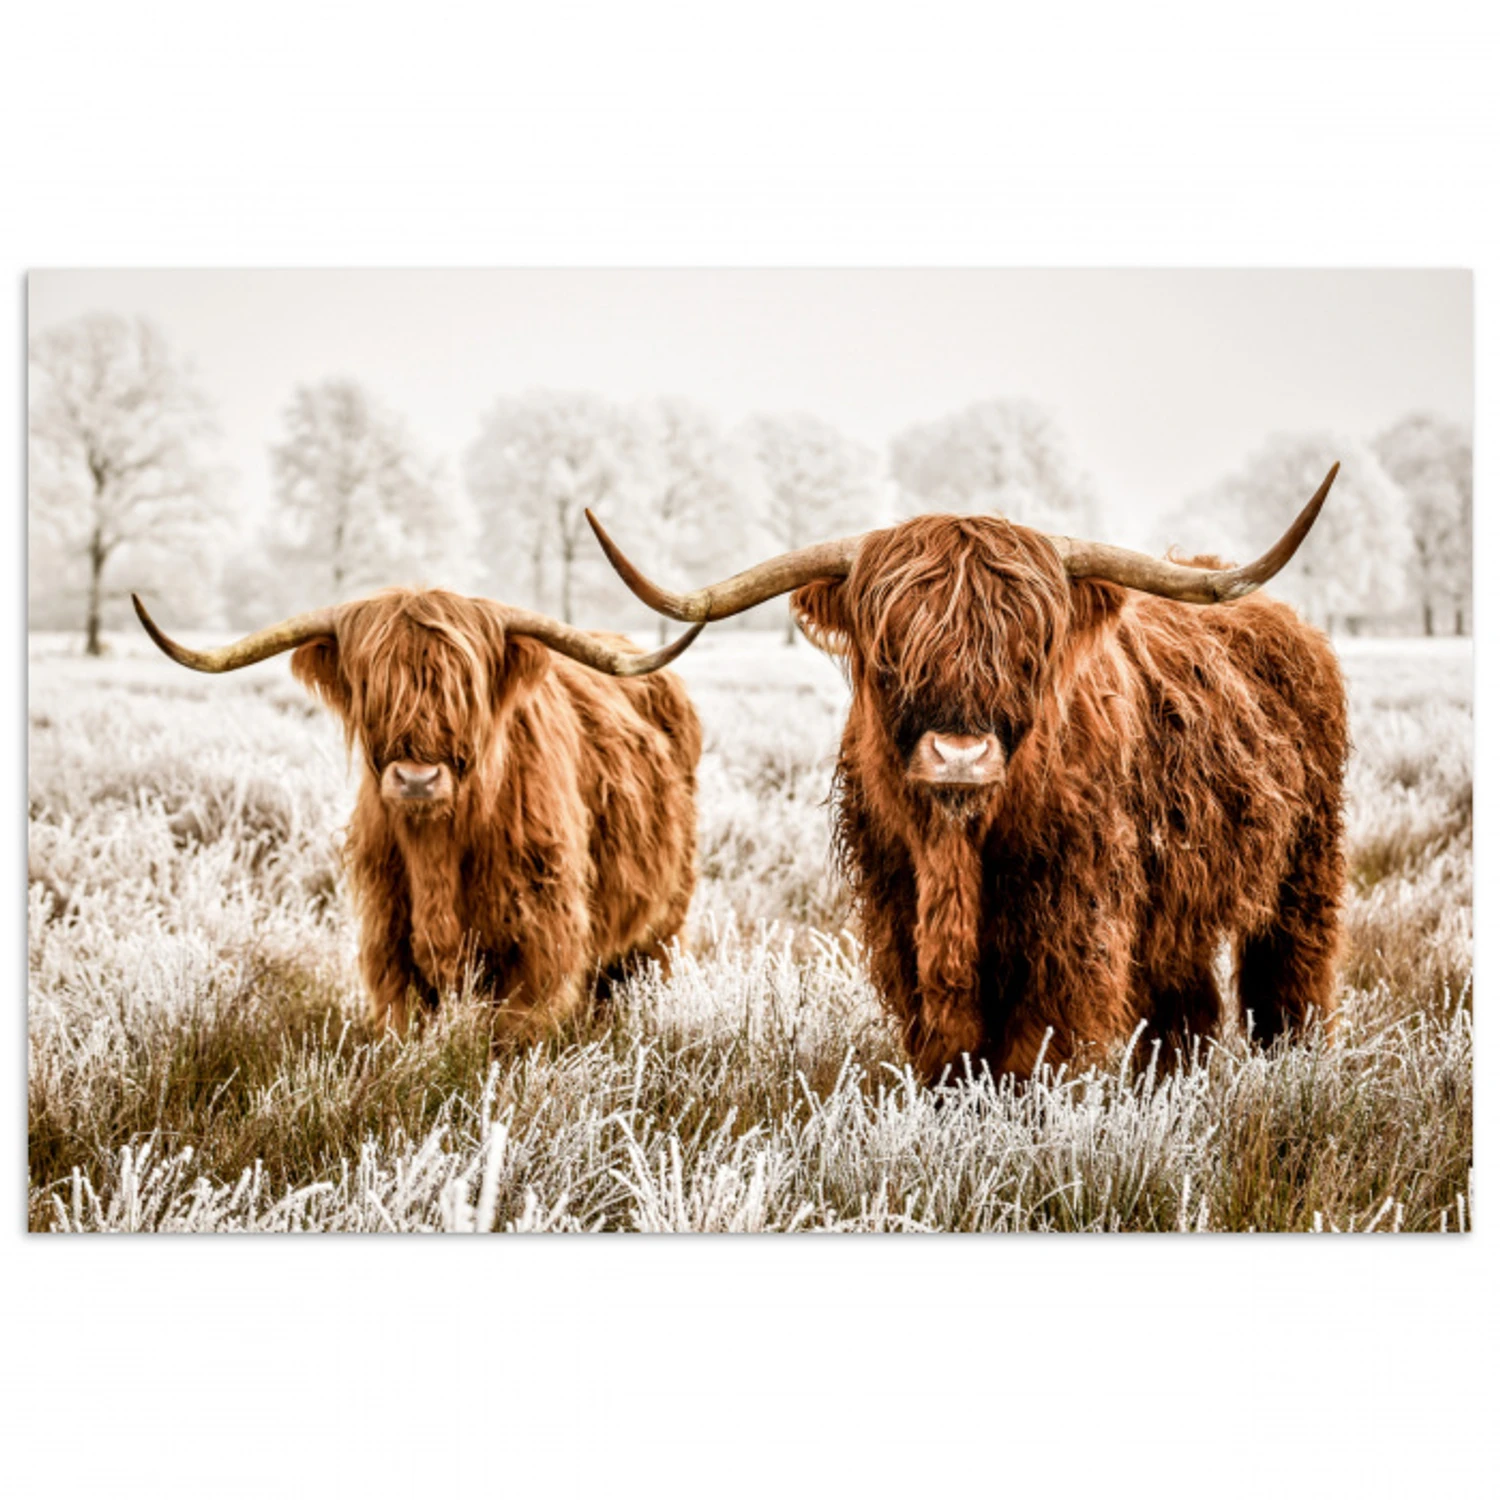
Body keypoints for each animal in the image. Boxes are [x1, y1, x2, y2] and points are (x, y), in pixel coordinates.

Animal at [134, 588, 703, 1041]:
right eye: (372, 688)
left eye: (464, 690)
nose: (416, 779)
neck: (437, 851)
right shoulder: (389, 943)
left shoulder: (542, 943)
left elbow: (514, 1036)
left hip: (662, 924)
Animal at [586, 466, 1346, 1082]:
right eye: (891, 651)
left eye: (1027, 650)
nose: (959, 755)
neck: (957, 850)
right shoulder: (900, 915)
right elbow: (947, 1050)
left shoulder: (1073, 926)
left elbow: (1033, 1052)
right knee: (1185, 1006)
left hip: (1305, 868)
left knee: (1289, 980)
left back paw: (1292, 1067)